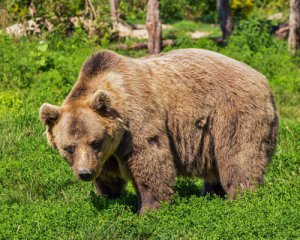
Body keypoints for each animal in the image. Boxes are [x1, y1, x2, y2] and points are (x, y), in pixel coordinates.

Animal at [39, 48, 278, 214]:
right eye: (68, 147)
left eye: (95, 141)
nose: (85, 173)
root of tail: (263, 79)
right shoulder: (107, 153)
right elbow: (107, 175)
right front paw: (107, 197)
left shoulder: (137, 119)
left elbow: (150, 160)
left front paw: (148, 209)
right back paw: (211, 193)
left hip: (233, 114)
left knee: (239, 158)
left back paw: (243, 197)